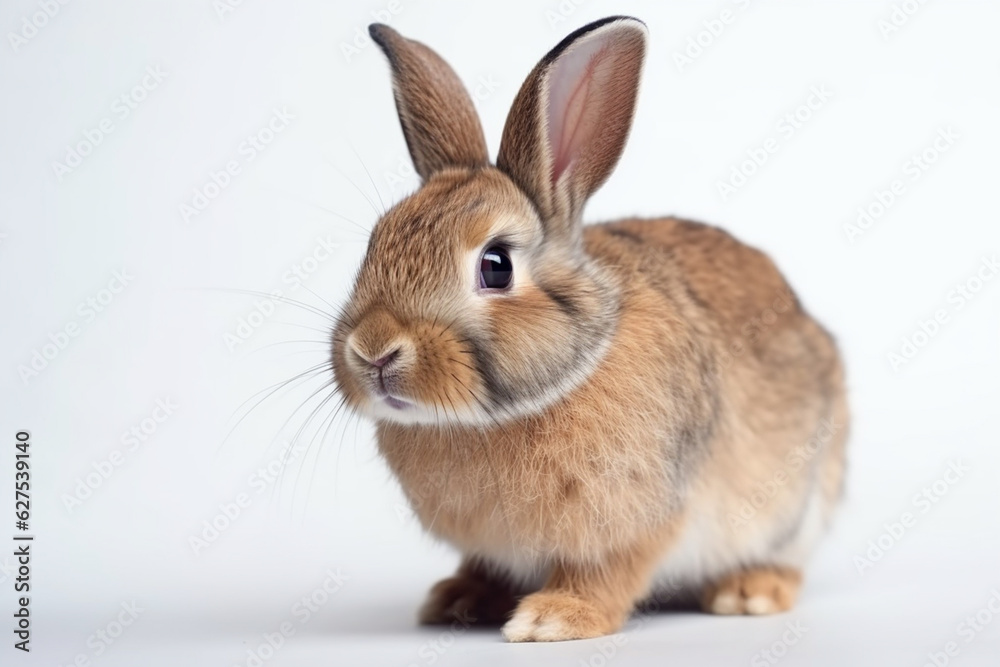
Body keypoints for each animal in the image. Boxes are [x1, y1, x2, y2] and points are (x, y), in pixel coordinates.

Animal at [331, 15, 848, 642]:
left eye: (496, 265)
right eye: (374, 243)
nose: (373, 352)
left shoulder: (644, 517)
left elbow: (608, 573)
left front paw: (552, 619)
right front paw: (458, 599)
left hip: (801, 502)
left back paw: (749, 592)